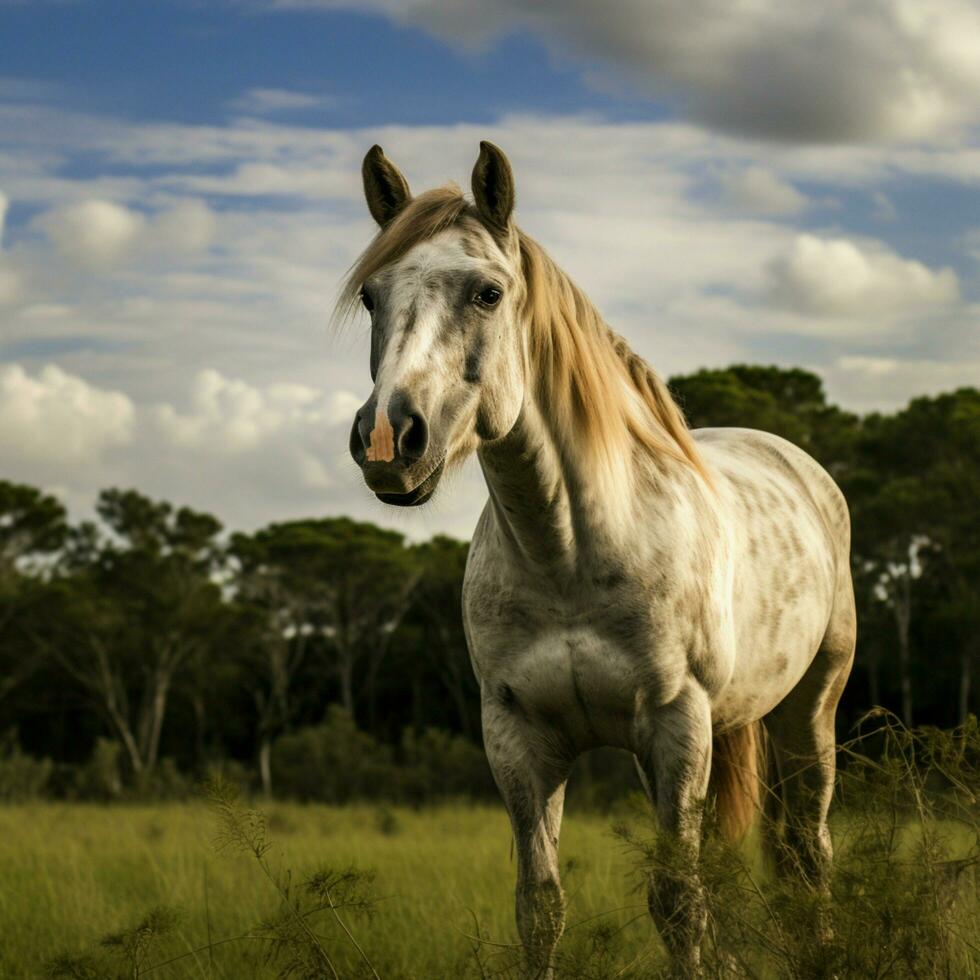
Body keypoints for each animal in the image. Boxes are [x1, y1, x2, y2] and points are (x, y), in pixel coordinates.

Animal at [340, 142, 852, 976]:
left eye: (487, 292)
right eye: (371, 297)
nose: (389, 439)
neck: (570, 554)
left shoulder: (677, 726)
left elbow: (677, 904)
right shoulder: (519, 739)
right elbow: (541, 908)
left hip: (808, 714)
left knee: (810, 854)